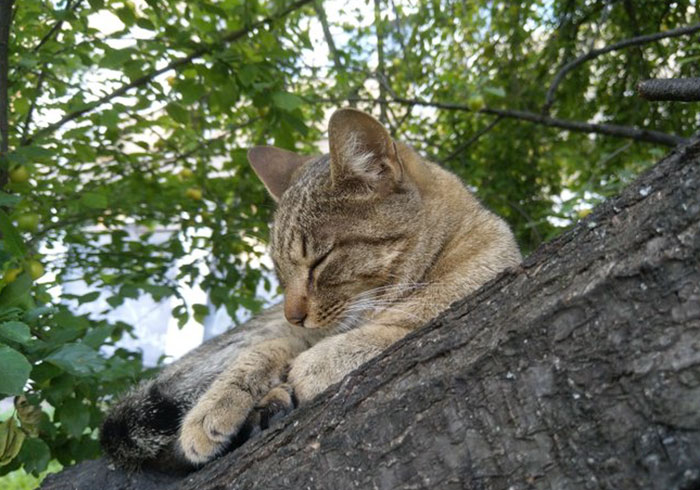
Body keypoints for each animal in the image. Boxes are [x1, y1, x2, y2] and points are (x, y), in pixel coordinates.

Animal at [101, 108, 524, 470]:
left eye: (318, 261)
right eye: (279, 270)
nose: (293, 314)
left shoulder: (472, 286)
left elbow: (400, 325)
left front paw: (314, 366)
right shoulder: (296, 334)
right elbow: (262, 353)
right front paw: (213, 408)